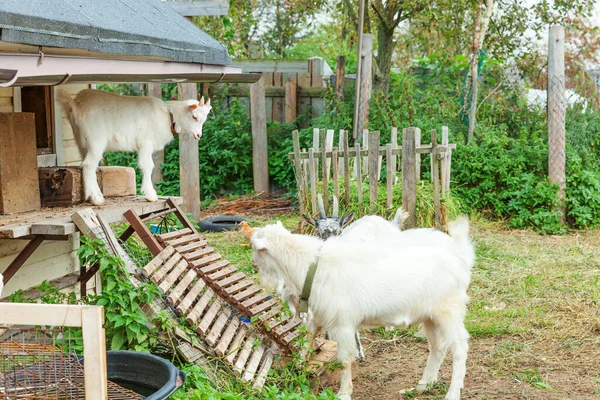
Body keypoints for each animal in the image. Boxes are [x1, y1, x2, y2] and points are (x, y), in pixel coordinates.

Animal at [56, 89, 211, 205]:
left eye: (204, 119)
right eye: (194, 117)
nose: (198, 135)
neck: (169, 116)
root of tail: (76, 105)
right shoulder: (145, 142)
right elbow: (148, 165)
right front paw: (150, 194)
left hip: (81, 141)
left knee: (87, 165)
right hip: (96, 140)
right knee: (88, 164)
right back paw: (95, 198)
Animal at [251, 219, 476, 400]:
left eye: (255, 247)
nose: (254, 266)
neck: (312, 267)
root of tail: (461, 260)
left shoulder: (343, 324)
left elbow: (344, 360)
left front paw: (343, 393)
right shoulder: (323, 315)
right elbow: (309, 335)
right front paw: (298, 364)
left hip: (449, 311)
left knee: (460, 348)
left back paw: (452, 393)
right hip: (430, 317)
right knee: (438, 347)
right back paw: (423, 385)